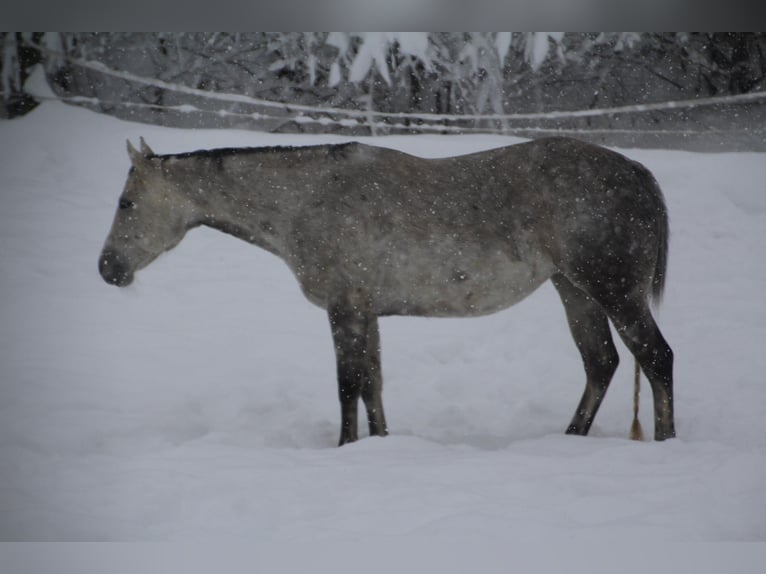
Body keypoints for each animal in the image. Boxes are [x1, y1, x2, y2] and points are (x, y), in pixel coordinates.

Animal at [99, 136, 675, 445]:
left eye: (126, 203)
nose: (107, 268)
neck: (306, 200)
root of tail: (636, 171)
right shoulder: (367, 312)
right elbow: (372, 384)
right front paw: (378, 445)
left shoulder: (344, 309)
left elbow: (347, 384)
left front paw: (345, 446)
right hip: (574, 291)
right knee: (601, 363)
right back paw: (569, 439)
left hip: (613, 291)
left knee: (655, 357)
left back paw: (665, 440)